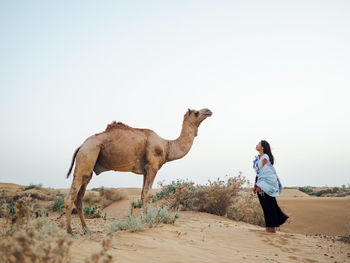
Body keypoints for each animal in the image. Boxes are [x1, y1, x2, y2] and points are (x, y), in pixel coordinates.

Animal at [65, 108, 213, 234]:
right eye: (196, 112)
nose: (209, 111)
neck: (167, 146)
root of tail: (81, 146)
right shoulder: (153, 166)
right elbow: (147, 193)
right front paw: (147, 220)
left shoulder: (145, 170)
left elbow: (142, 193)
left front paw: (143, 218)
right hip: (87, 155)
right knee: (71, 196)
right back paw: (70, 231)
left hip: (89, 168)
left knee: (79, 198)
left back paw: (86, 229)